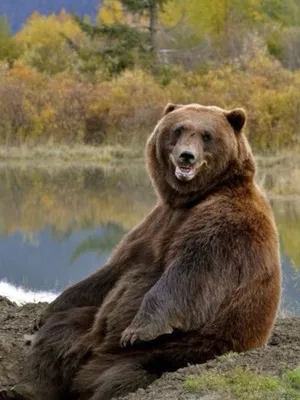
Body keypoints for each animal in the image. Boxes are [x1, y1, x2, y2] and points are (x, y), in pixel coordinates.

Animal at [0, 102, 282, 400]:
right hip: (88, 326)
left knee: (124, 375)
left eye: (207, 135)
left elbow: (191, 272)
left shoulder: (225, 224)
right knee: (59, 334)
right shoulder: (155, 224)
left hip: (180, 348)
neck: (189, 199)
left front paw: (139, 329)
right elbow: (114, 271)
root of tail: (94, 357)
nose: (186, 156)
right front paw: (43, 315)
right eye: (178, 129)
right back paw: (27, 387)